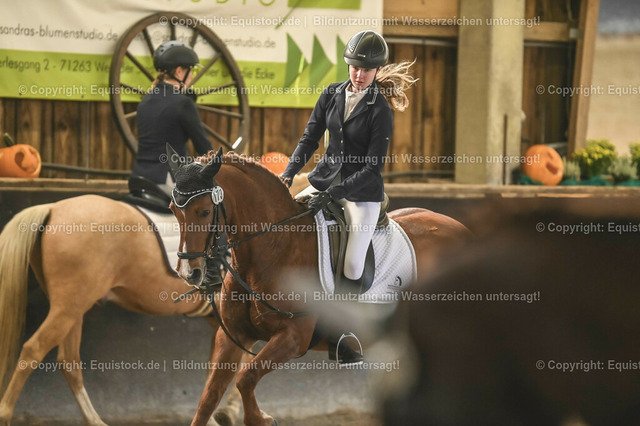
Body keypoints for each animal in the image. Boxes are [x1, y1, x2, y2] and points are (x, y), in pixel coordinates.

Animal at [0, 195, 243, 425]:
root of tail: (52, 208)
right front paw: (227, 412)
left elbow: (220, 367)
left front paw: (215, 415)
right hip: (67, 309)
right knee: (34, 349)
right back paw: (5, 414)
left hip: (73, 309)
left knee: (68, 361)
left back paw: (94, 420)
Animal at [166, 148, 471, 426]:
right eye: (172, 210)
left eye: (205, 211)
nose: (189, 272)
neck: (273, 248)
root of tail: (464, 230)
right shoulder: (233, 336)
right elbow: (208, 398)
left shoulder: (294, 337)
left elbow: (246, 377)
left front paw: (261, 419)